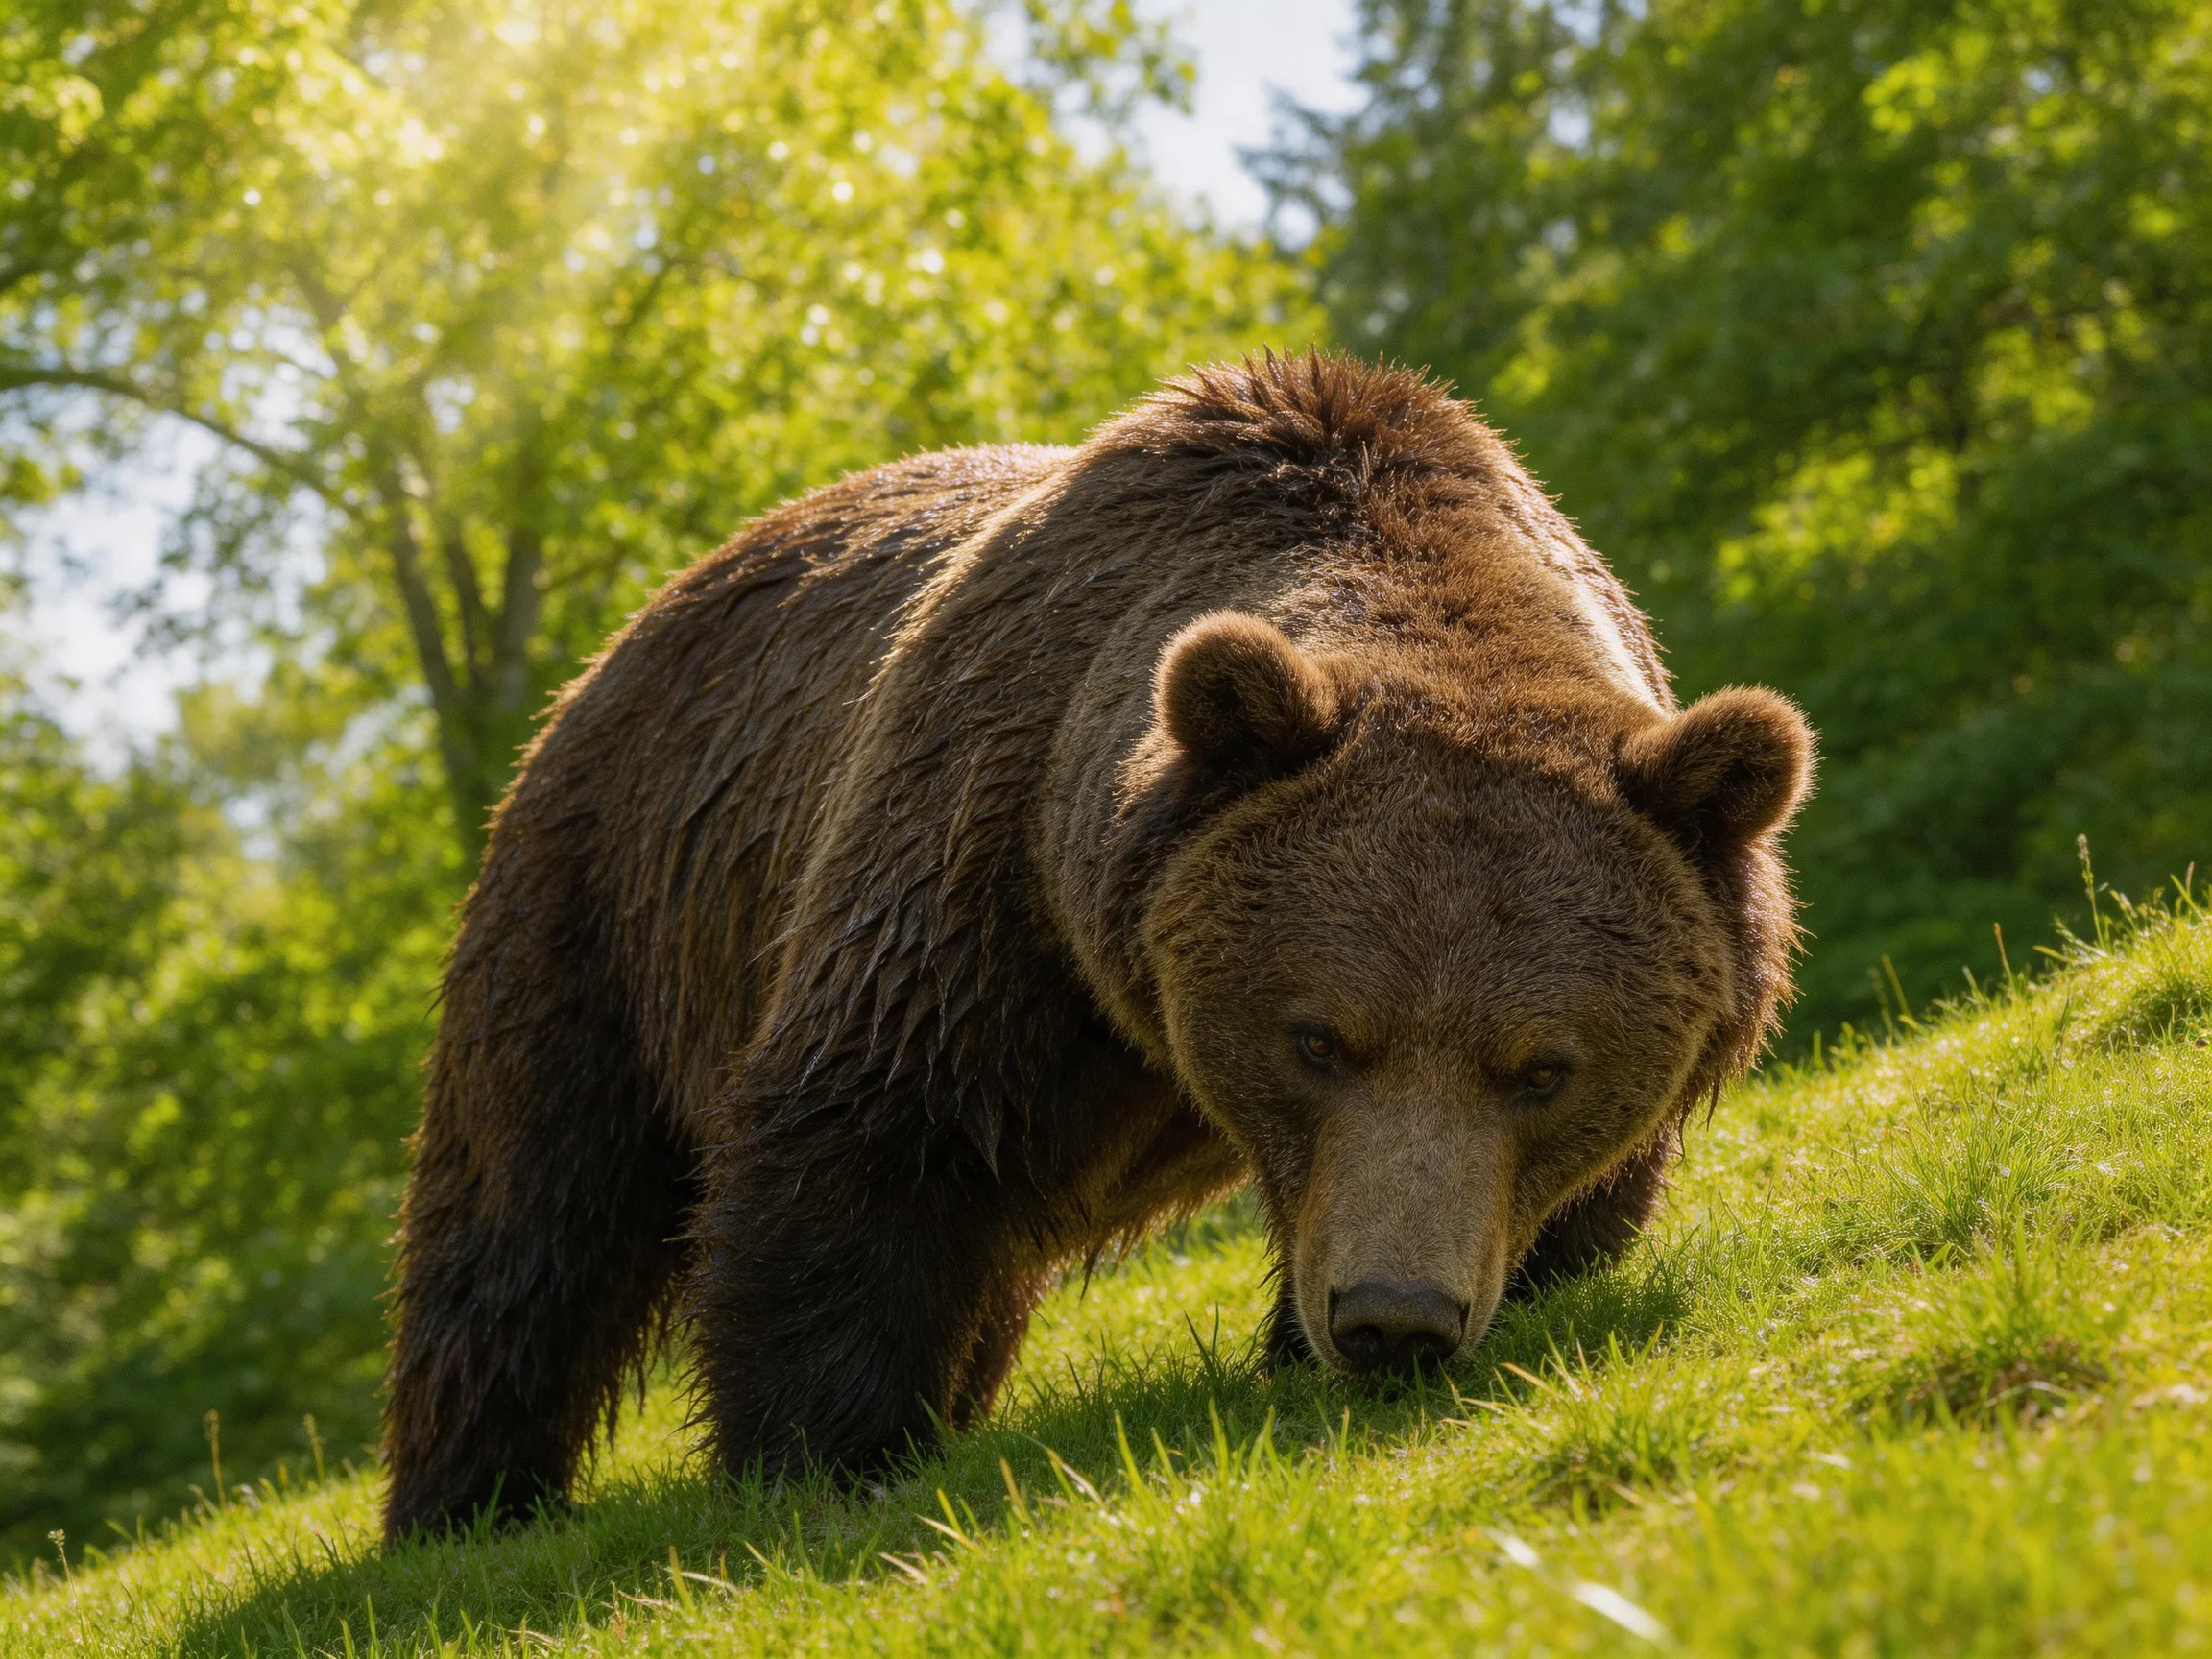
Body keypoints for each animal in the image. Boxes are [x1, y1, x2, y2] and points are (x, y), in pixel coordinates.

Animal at [380, 352, 1813, 1542]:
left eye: (1542, 1068)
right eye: (1320, 1039)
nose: (1393, 1319)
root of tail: (626, 637)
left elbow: (1573, 1197)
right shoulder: (985, 856)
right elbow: (863, 1129)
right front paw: (827, 1452)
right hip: (607, 898)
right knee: (530, 1216)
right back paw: (469, 1509)